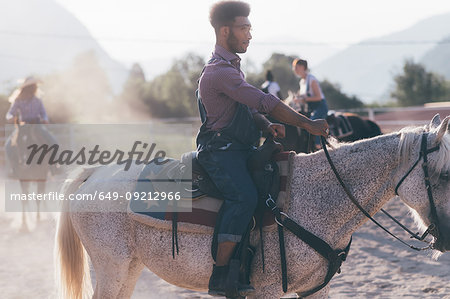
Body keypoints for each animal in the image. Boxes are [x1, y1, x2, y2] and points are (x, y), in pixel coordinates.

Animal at [54, 115, 448, 299]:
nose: (446, 238)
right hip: (112, 267)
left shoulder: (316, 288)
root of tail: (92, 174)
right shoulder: (267, 289)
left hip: (130, 267)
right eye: (444, 174)